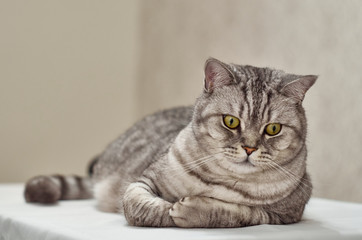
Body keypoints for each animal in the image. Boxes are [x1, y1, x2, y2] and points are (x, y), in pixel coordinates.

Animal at [24, 57, 316, 227]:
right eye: (231, 122)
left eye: (273, 129)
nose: (249, 148)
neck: (222, 181)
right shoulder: (141, 182)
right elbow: (138, 206)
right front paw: (168, 209)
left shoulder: (283, 214)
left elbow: (236, 212)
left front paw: (191, 210)